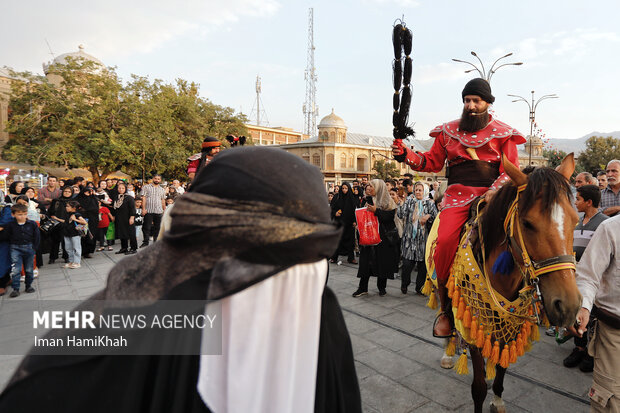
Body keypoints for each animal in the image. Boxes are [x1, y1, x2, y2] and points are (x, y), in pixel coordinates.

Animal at [426, 153, 580, 410]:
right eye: (527, 223)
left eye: (576, 220)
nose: (568, 306)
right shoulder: (474, 319)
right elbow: (478, 387)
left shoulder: (509, 324)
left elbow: (502, 366)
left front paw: (497, 397)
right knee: (447, 313)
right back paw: (448, 350)